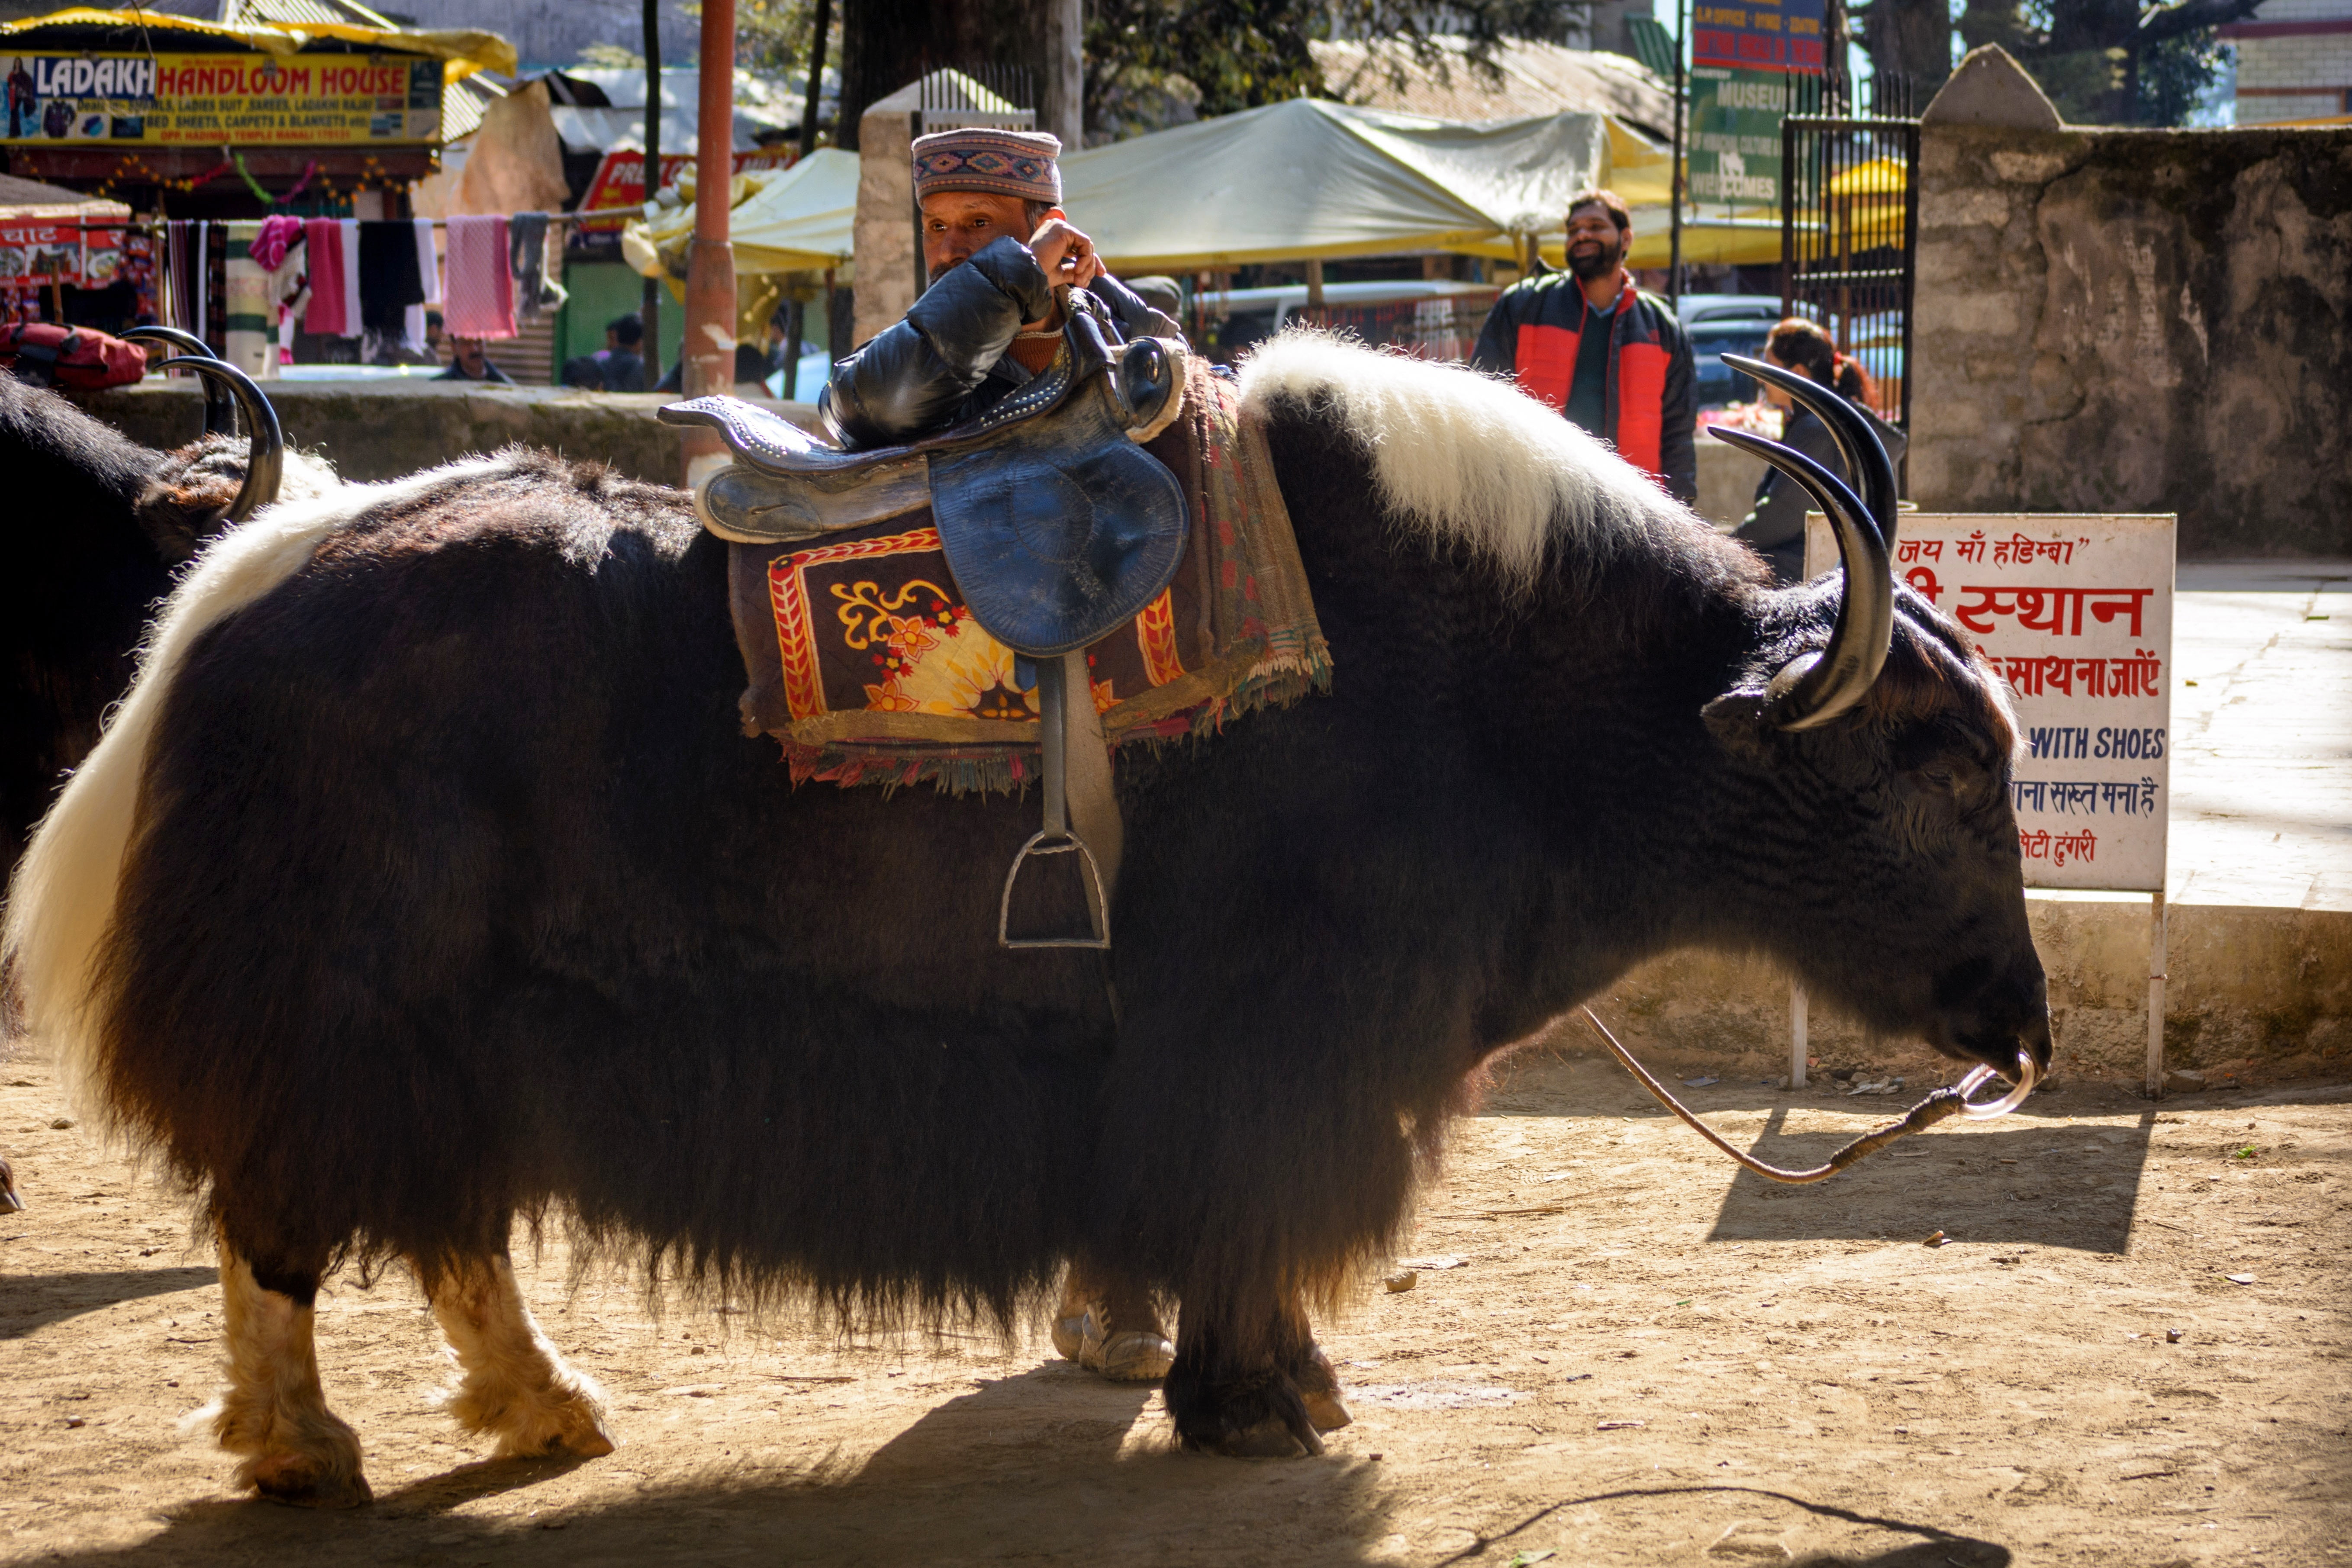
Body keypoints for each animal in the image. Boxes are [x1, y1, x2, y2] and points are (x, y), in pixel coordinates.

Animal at [3, 333, 2050, 1503]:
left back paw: (543, 1408)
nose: (2024, 1033)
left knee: (448, 1222)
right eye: (1948, 765)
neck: (1518, 683)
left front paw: (1277, 1382)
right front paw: (1263, 1404)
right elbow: (1248, 1207)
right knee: (286, 1212)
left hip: (478, 1024)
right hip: (349, 1001)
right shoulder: (1283, 1039)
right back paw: (309, 1446)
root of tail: (239, 591)